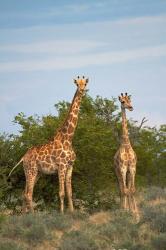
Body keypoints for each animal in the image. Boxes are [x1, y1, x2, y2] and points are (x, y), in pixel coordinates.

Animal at [9, 75, 89, 213]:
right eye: (77, 84)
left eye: (85, 83)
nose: (82, 90)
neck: (68, 139)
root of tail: (23, 157)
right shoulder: (61, 166)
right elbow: (61, 193)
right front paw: (62, 213)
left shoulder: (70, 166)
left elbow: (70, 193)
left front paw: (72, 212)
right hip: (31, 170)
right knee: (28, 194)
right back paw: (32, 216)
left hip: (36, 172)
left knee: (25, 193)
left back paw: (24, 215)